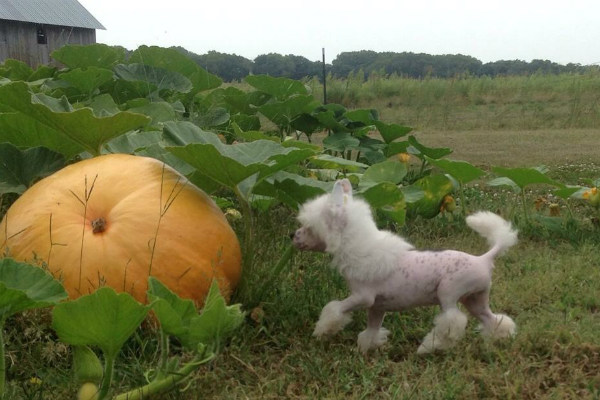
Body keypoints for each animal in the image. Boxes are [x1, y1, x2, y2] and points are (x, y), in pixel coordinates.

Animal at [292, 178, 516, 354]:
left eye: (309, 227)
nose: (292, 235)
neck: (358, 246)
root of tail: (484, 258)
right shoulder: (377, 307)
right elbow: (371, 331)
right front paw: (364, 350)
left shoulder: (363, 297)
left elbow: (334, 309)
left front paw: (322, 330)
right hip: (475, 300)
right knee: (493, 319)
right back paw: (501, 338)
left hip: (448, 293)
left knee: (453, 322)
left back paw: (428, 347)